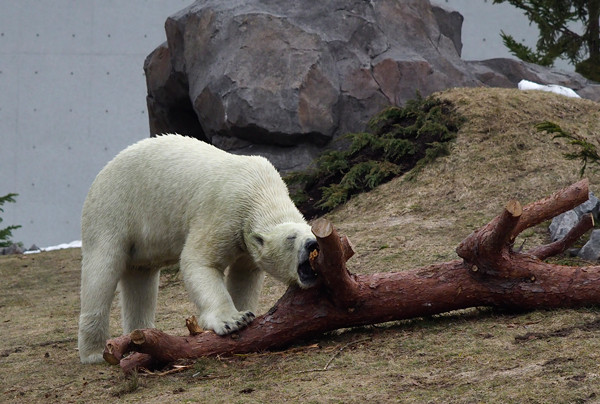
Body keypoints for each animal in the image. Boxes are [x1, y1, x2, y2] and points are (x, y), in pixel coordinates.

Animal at [78, 135, 318, 362]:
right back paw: (94, 352)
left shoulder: (244, 239)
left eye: (313, 233)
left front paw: (246, 313)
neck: (259, 188)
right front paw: (233, 320)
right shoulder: (224, 211)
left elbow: (244, 274)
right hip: (112, 211)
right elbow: (200, 261)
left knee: (140, 281)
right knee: (101, 272)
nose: (312, 244)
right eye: (291, 238)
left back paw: (140, 337)